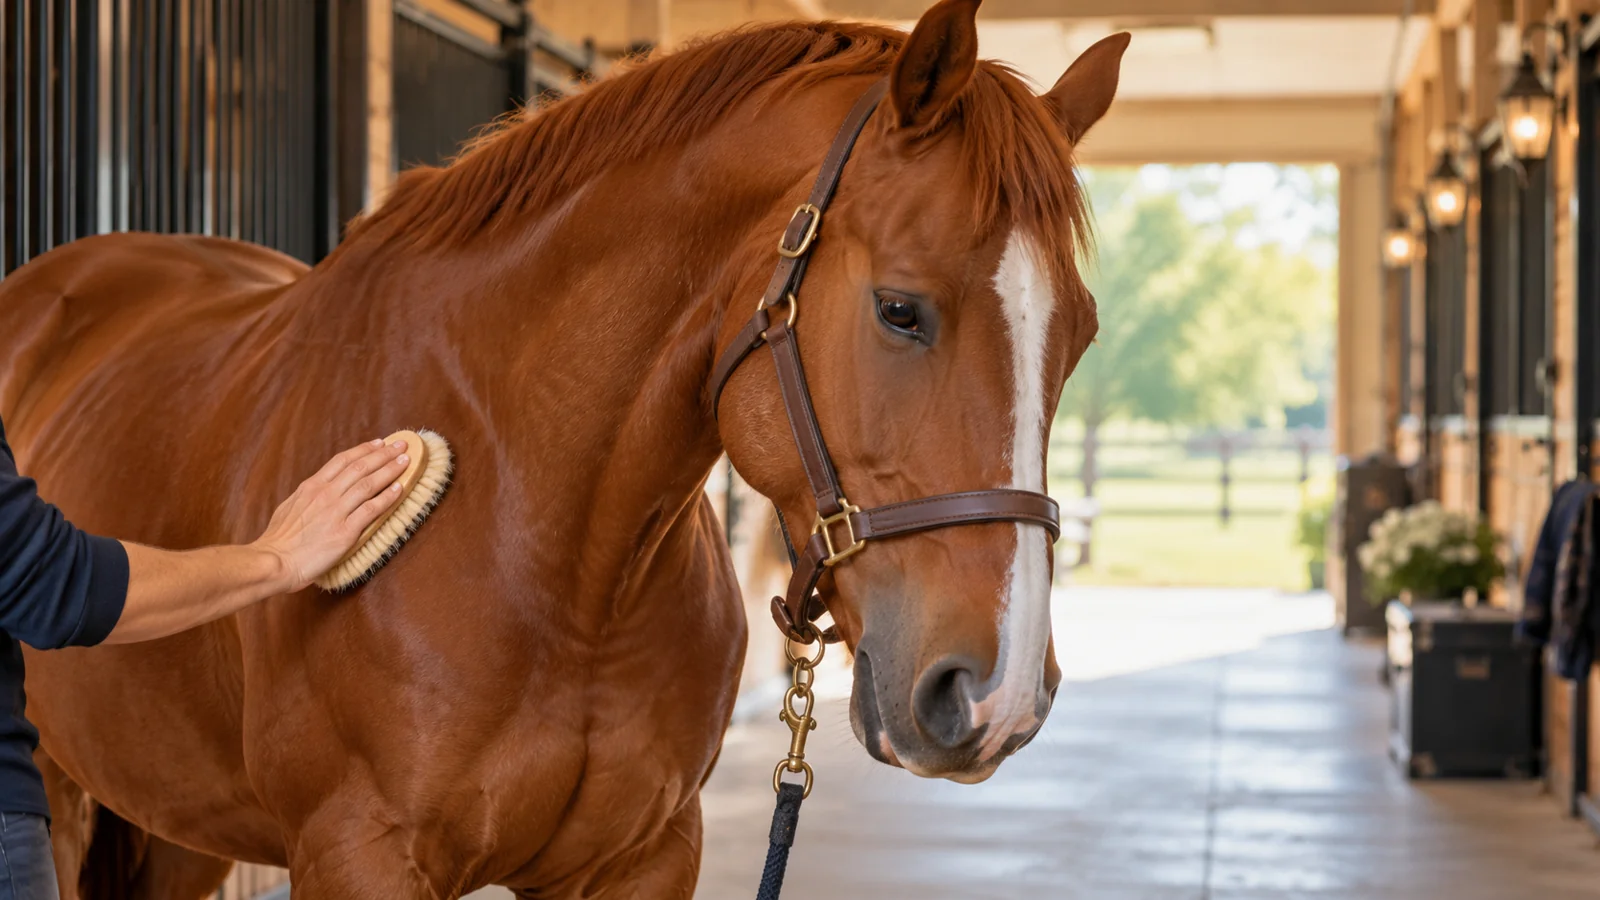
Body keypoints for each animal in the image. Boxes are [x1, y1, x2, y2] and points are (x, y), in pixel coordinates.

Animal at [0, 0, 1125, 895]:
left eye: (1080, 336)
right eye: (900, 309)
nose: (994, 697)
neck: (541, 543)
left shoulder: (641, 858)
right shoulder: (361, 856)